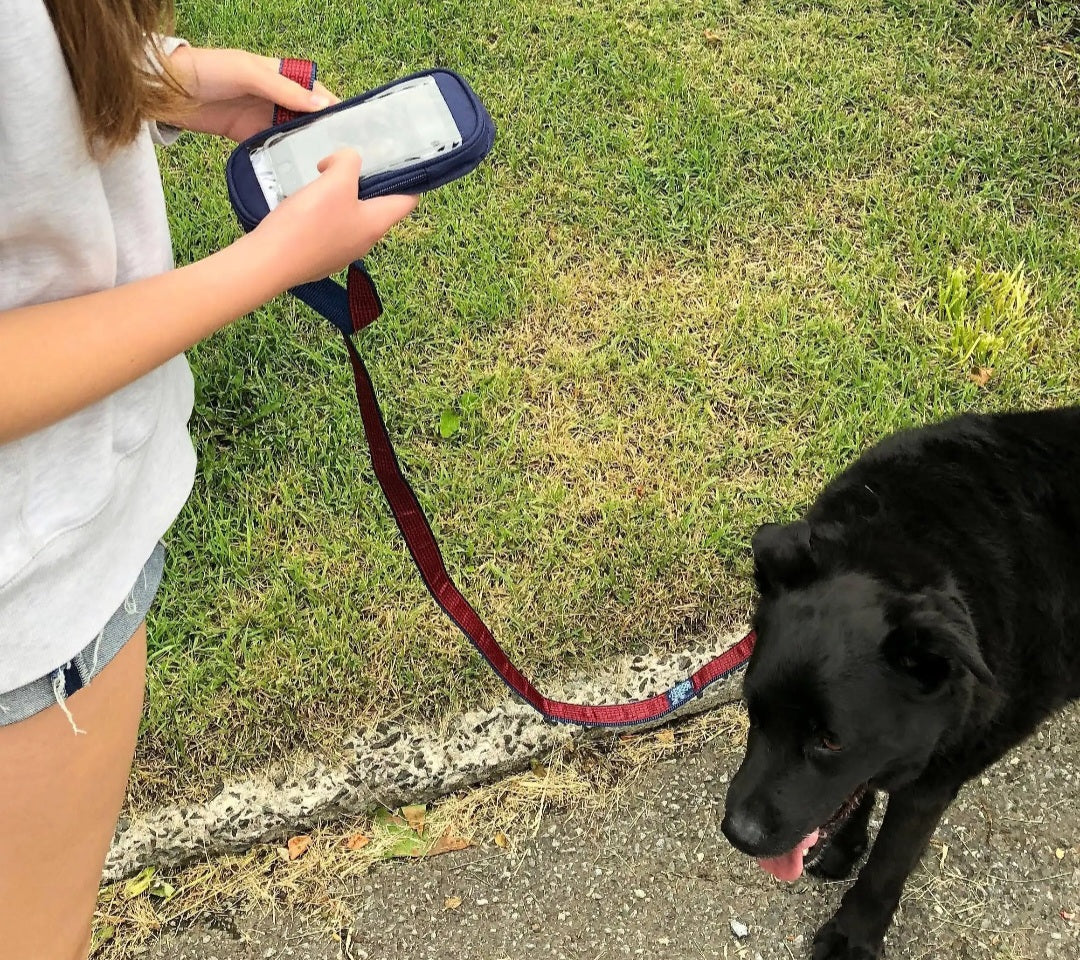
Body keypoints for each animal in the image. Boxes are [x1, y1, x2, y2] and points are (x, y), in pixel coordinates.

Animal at [721, 406, 1080, 958]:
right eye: (752, 712)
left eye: (830, 740)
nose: (738, 834)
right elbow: (858, 791)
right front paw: (844, 846)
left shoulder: (937, 777)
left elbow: (890, 862)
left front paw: (853, 936)